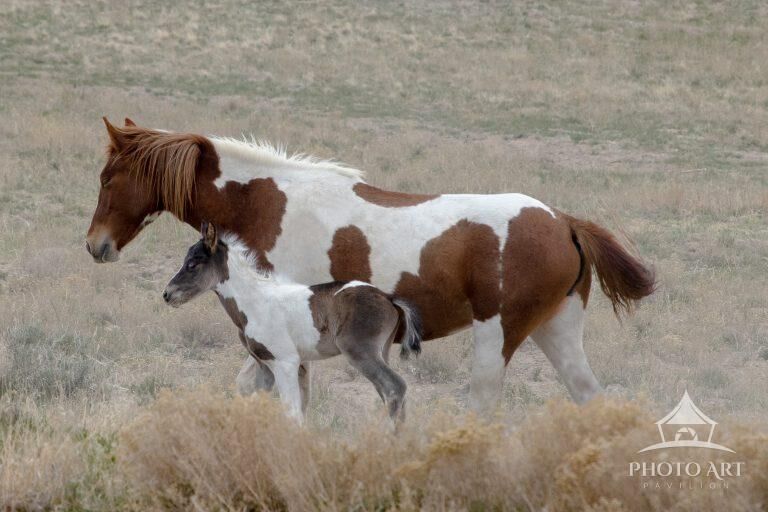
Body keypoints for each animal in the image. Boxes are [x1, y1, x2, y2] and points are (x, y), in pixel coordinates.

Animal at [163, 222, 421, 422]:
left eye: (193, 263)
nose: (167, 294)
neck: (255, 302)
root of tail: (388, 299)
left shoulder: (285, 362)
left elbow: (292, 413)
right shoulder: (266, 366)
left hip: (360, 351)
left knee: (395, 387)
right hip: (381, 351)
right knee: (389, 393)